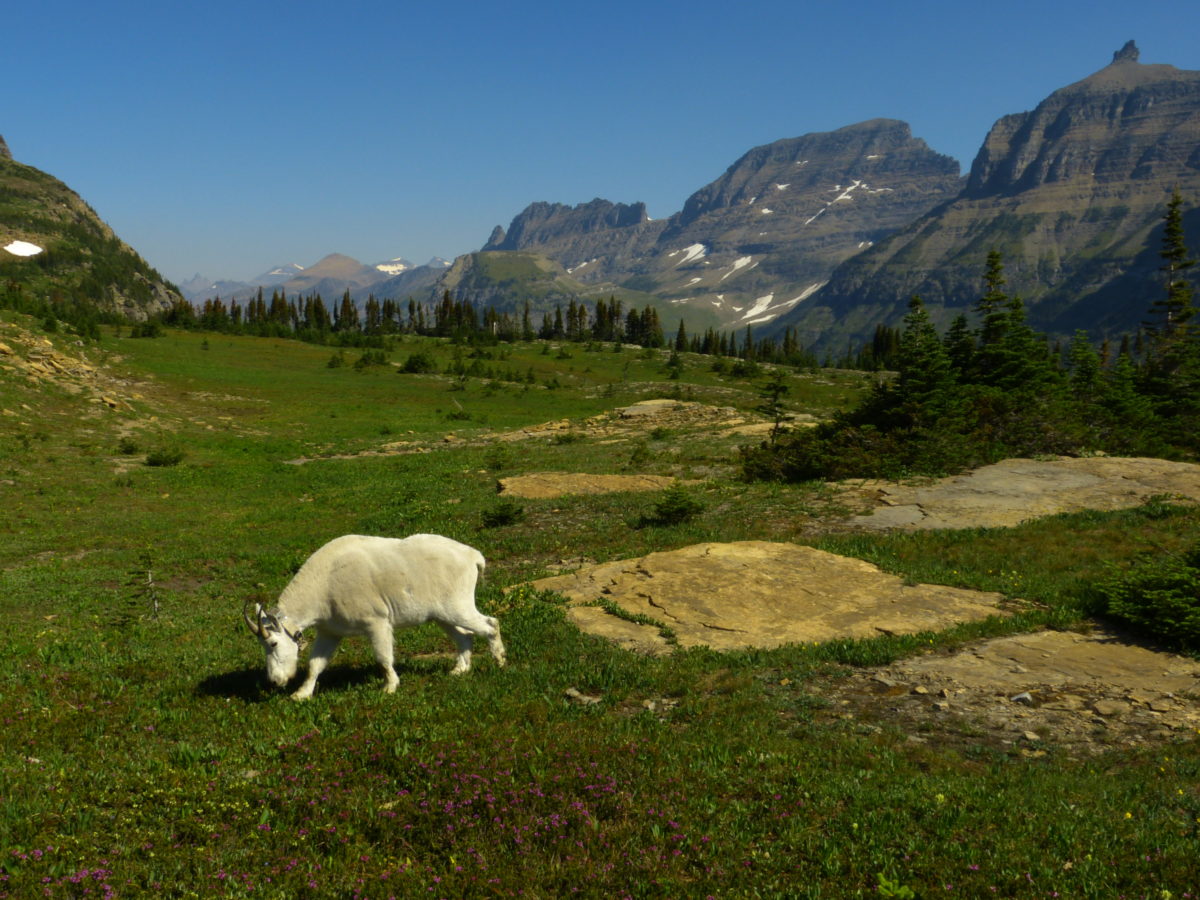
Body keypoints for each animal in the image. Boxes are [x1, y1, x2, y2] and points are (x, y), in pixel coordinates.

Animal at [243, 535, 506, 705]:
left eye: (273, 643)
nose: (275, 681)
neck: (324, 585)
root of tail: (473, 557)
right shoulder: (330, 631)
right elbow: (315, 664)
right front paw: (301, 694)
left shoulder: (376, 622)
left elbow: (383, 657)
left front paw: (389, 687)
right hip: (442, 613)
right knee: (464, 635)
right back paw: (460, 669)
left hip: (457, 605)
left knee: (490, 624)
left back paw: (500, 661)